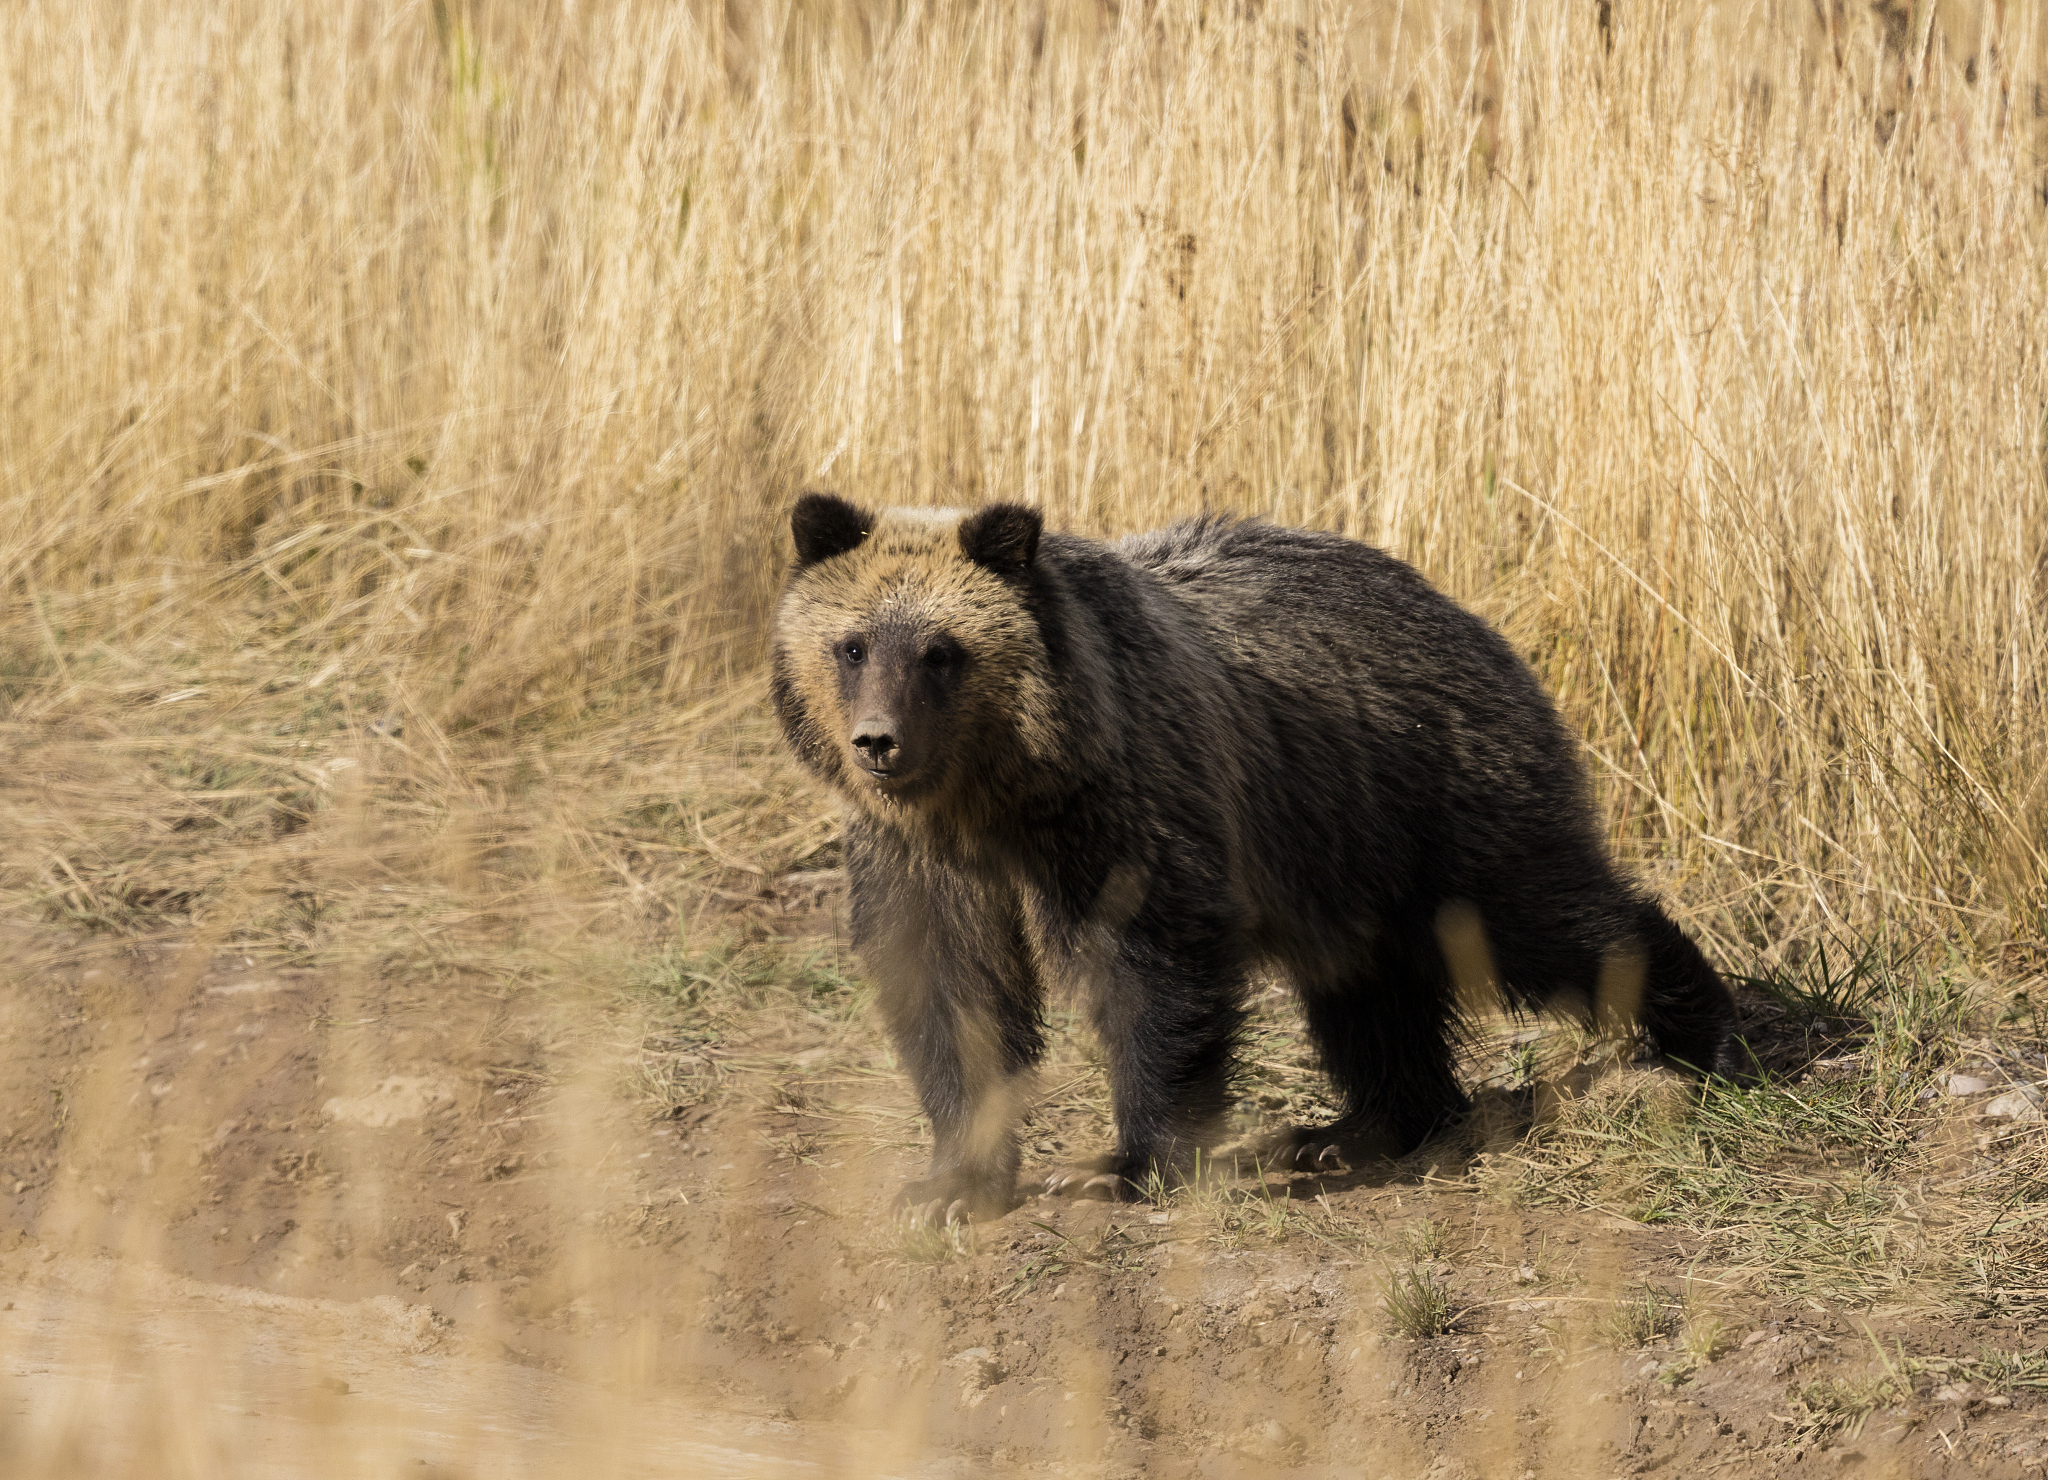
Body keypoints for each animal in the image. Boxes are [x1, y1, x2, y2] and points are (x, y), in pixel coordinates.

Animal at [771, 493, 1735, 1226]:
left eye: (941, 651)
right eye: (853, 645)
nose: (878, 742)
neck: (998, 791)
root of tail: (1468, 615)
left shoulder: (1125, 805)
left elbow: (1152, 962)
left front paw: (1122, 1165)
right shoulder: (923, 856)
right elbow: (951, 988)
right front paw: (948, 1187)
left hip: (1430, 798)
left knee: (1533, 920)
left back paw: (1695, 1030)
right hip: (1342, 858)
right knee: (1368, 999)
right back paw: (1352, 1129)